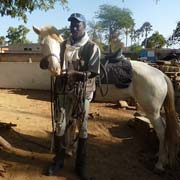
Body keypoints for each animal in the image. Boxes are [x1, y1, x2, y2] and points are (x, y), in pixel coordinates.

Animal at [33, 25, 179, 172]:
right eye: (42, 44)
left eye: (58, 44)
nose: (55, 69)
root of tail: (161, 74)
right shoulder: (71, 100)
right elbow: (71, 125)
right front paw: (69, 150)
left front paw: (69, 150)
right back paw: (159, 156)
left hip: (152, 110)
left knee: (161, 131)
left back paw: (159, 164)